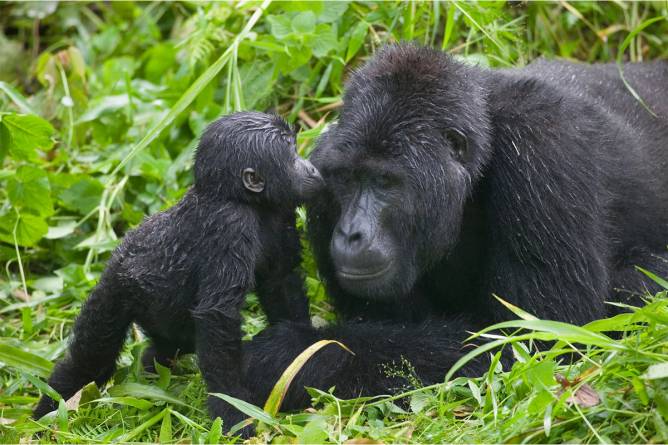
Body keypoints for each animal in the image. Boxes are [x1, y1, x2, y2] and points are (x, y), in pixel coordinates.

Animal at [35, 112, 324, 434]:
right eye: (291, 153)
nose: (311, 167)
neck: (240, 198)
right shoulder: (230, 226)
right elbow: (217, 316)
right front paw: (233, 408)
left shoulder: (280, 211)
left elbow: (280, 282)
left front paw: (300, 350)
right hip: (114, 289)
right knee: (91, 359)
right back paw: (50, 411)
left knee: (170, 344)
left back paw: (152, 370)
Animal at [241, 45, 668, 410]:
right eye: (346, 179)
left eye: (384, 182)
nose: (350, 233)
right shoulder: (320, 178)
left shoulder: (544, 145)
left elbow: (537, 339)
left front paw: (290, 353)